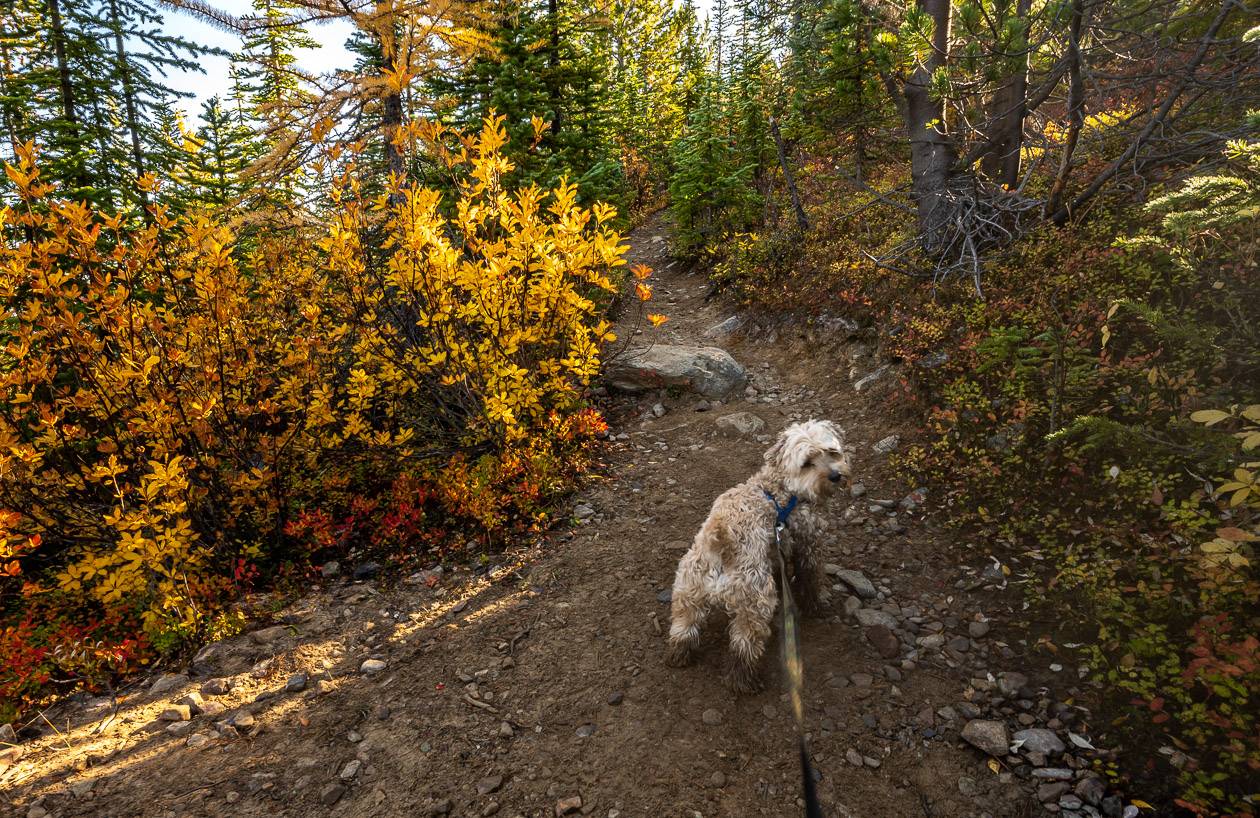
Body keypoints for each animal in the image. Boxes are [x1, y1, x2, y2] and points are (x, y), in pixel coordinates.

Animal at [665, 418, 851, 690]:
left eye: (832, 451)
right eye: (807, 463)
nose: (836, 475)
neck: (780, 488)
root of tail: (719, 540)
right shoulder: (808, 543)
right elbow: (810, 578)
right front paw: (816, 605)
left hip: (688, 593)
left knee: (684, 627)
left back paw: (680, 654)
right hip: (755, 601)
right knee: (744, 644)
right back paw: (745, 681)